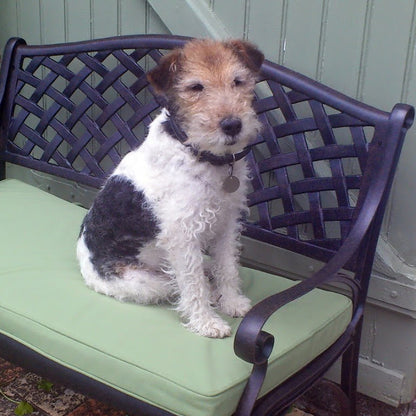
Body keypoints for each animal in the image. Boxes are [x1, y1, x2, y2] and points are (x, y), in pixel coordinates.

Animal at [77, 39, 264, 338]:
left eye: (238, 81)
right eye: (195, 87)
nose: (232, 125)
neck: (198, 152)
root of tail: (81, 255)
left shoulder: (226, 223)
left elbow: (227, 267)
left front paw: (232, 302)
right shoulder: (182, 235)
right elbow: (193, 285)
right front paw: (207, 323)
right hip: (146, 283)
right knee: (182, 285)